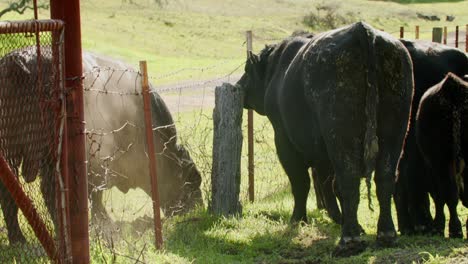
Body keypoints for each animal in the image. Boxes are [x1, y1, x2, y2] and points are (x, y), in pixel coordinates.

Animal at [0, 49, 202, 243]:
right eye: (193, 180)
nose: (197, 209)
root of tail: (17, 61)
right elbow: (96, 194)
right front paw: (104, 224)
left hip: (12, 155)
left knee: (11, 193)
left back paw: (19, 239)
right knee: (48, 191)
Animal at [238, 21, 414, 255]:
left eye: (247, 71)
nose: (239, 86)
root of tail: (361, 30)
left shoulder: (285, 141)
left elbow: (302, 182)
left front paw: (298, 219)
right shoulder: (322, 152)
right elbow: (326, 183)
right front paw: (343, 219)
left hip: (340, 135)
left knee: (348, 179)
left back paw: (349, 240)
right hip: (394, 131)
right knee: (384, 179)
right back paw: (386, 234)